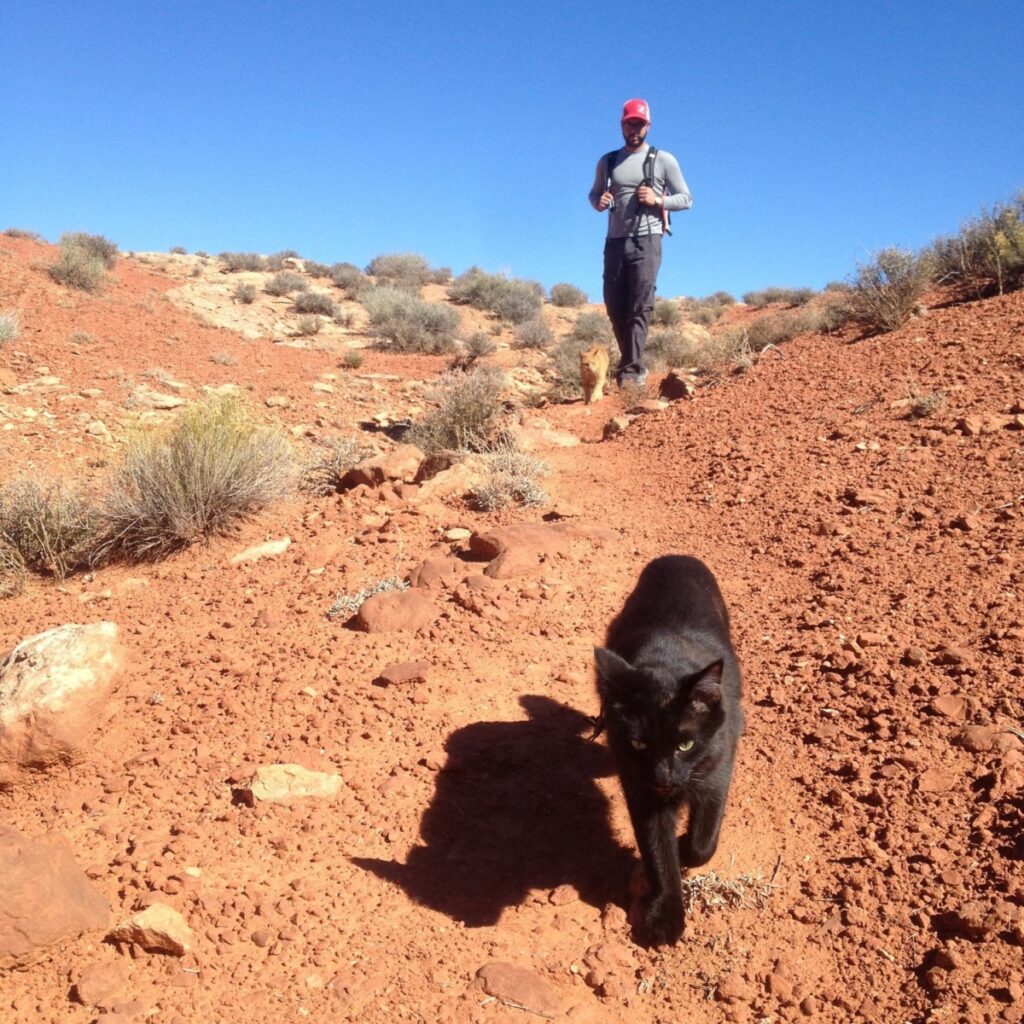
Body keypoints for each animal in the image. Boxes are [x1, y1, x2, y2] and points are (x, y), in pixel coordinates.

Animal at [593, 557, 745, 946]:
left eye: (685, 743)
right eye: (638, 743)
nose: (662, 775)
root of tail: (676, 557)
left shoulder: (717, 771)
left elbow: (704, 842)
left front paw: (686, 845)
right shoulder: (642, 792)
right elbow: (657, 852)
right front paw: (666, 915)